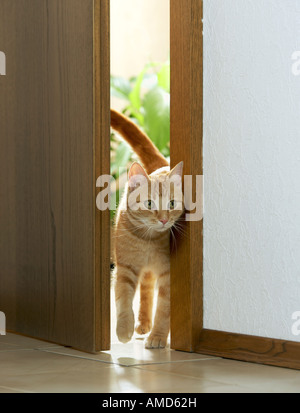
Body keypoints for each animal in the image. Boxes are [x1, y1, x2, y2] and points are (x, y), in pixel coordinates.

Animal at [111, 109, 184, 348]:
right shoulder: (125, 268)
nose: (163, 220)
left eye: (172, 203)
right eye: (150, 204)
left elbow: (164, 309)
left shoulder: (168, 275)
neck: (148, 240)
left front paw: (158, 337)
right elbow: (123, 300)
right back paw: (143, 323)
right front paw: (123, 329)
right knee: (145, 291)